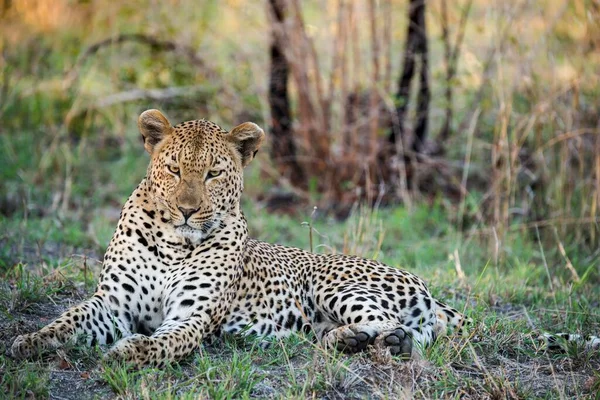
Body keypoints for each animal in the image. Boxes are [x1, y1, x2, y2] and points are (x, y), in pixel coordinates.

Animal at [10, 108, 600, 366]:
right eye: (174, 169)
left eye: (214, 174)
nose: (187, 210)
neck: (173, 243)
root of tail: (427, 288)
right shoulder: (112, 302)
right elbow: (69, 320)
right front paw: (28, 342)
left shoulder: (193, 315)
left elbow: (167, 340)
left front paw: (132, 350)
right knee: (406, 335)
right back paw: (344, 342)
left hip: (338, 286)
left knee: (401, 331)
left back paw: (352, 341)